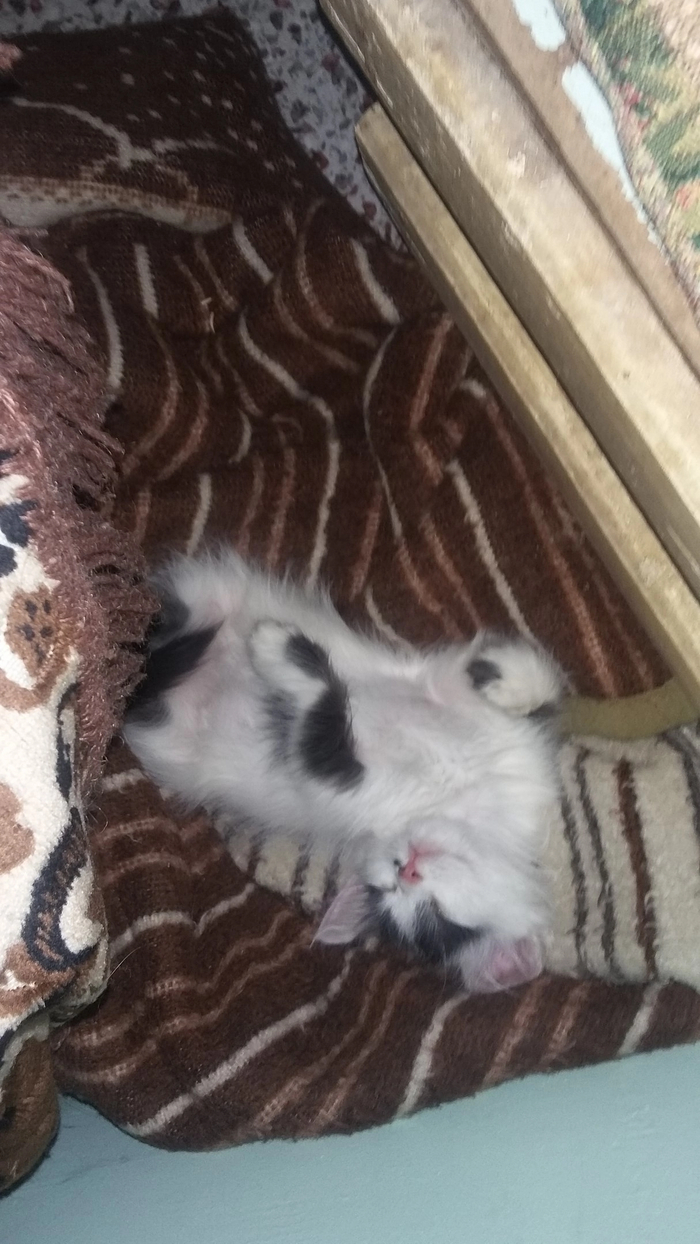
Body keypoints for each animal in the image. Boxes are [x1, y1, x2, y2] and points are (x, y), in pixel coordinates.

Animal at [124, 548, 564, 993]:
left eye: (431, 917)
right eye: (390, 886)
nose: (405, 869)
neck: (471, 795)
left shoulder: (341, 779)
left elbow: (322, 718)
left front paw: (279, 651)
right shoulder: (438, 692)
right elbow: (541, 679)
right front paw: (501, 677)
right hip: (204, 592)